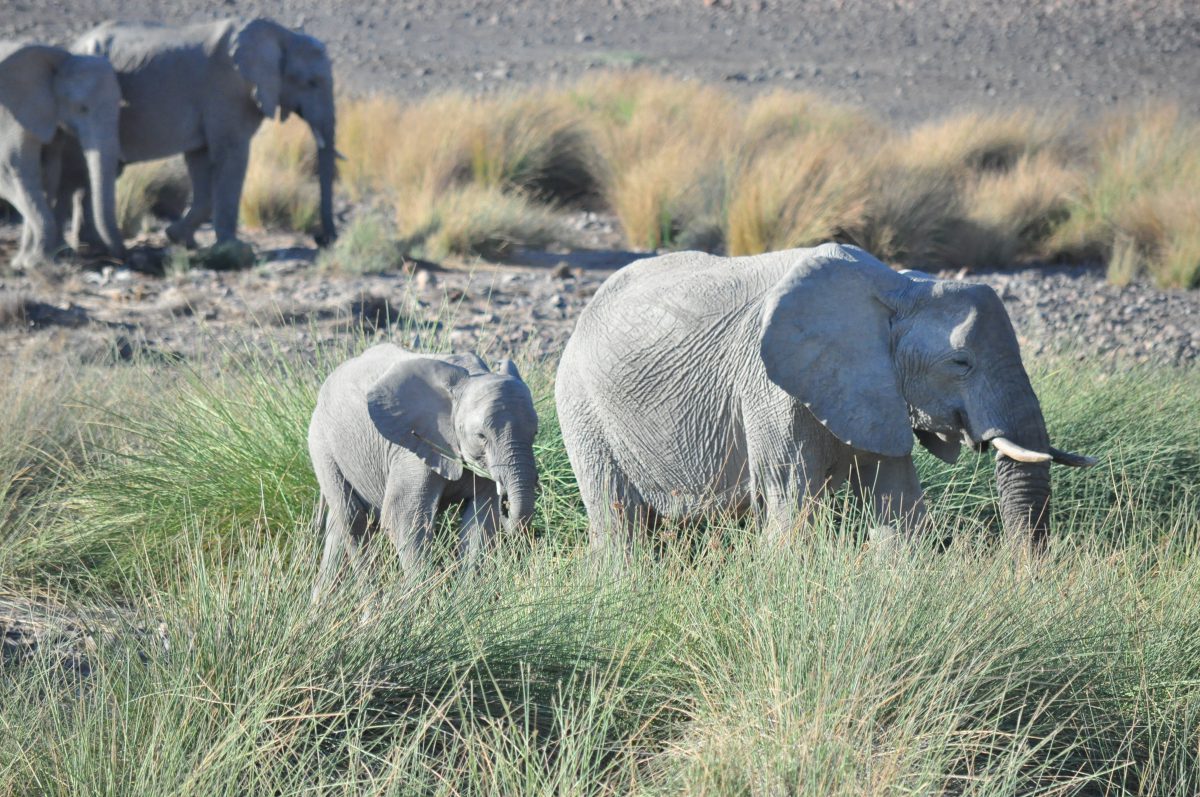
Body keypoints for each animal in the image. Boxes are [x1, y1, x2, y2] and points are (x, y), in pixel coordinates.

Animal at [68, 17, 336, 249]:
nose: (321, 240)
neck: (282, 35)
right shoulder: (227, 90)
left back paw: (91, 244)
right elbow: (230, 157)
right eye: (311, 82)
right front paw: (232, 247)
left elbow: (200, 158)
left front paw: (181, 239)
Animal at [309, 343, 540, 597]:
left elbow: (481, 520)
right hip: (322, 446)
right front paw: (428, 601)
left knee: (337, 530)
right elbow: (403, 517)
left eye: (534, 433)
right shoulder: (413, 446)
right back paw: (371, 603)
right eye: (482, 436)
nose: (506, 502)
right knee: (353, 521)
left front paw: (466, 596)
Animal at [554, 242, 1099, 552]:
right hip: (580, 405)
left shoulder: (876, 391)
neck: (900, 287)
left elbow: (898, 502)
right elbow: (791, 497)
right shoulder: (769, 387)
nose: (1021, 569)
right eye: (960, 363)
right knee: (619, 525)